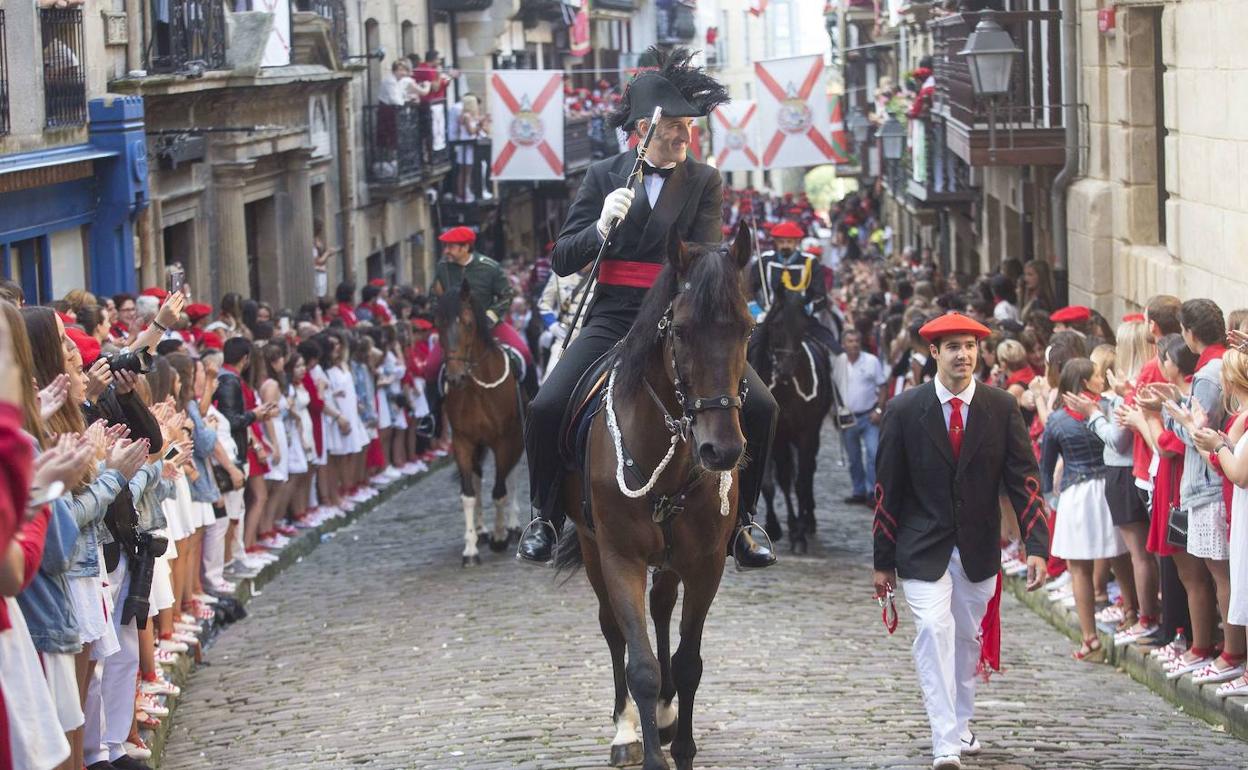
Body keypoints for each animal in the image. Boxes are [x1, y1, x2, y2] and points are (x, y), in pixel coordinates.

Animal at [436, 280, 524, 564]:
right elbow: (468, 494)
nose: (454, 378)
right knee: (477, 477)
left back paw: (513, 526)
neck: (476, 389)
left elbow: (499, 490)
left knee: (512, 475)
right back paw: (481, 531)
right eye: (438, 323)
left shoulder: (505, 440)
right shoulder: (462, 441)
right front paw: (471, 547)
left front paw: (500, 537)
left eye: (468, 324)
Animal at [561, 223, 753, 768]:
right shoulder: (619, 556)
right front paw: (646, 748)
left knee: (663, 608)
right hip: (592, 549)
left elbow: (688, 662)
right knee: (612, 628)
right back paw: (626, 728)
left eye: (747, 329)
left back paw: (666, 715)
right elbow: (640, 664)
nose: (721, 450)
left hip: (671, 559)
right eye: (681, 331)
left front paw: (681, 745)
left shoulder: (706, 562)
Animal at [748, 288, 828, 551]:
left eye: (804, 326)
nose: (784, 370)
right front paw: (778, 527)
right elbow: (775, 482)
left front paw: (799, 534)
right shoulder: (777, 437)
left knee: (808, 471)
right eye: (776, 324)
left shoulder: (806, 434)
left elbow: (801, 482)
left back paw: (809, 521)